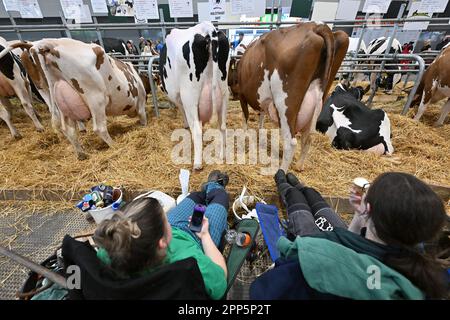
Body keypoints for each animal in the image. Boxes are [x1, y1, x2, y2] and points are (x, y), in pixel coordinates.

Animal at [0, 38, 147, 159]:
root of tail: (49, 44)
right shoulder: (140, 101)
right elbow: (143, 116)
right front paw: (143, 126)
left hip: (58, 97)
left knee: (67, 129)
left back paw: (81, 154)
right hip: (95, 98)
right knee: (99, 128)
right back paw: (114, 145)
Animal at [159, 21, 230, 170]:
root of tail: (208, 28)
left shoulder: (179, 97)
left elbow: (183, 113)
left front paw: (185, 125)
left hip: (189, 96)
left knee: (196, 130)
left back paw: (197, 164)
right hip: (224, 92)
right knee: (222, 126)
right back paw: (222, 156)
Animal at [229, 22, 348, 171]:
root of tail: (316, 26)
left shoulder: (243, 96)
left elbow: (245, 118)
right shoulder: (262, 101)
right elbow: (261, 118)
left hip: (286, 103)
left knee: (291, 142)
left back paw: (280, 171)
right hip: (320, 97)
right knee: (308, 137)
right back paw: (299, 166)